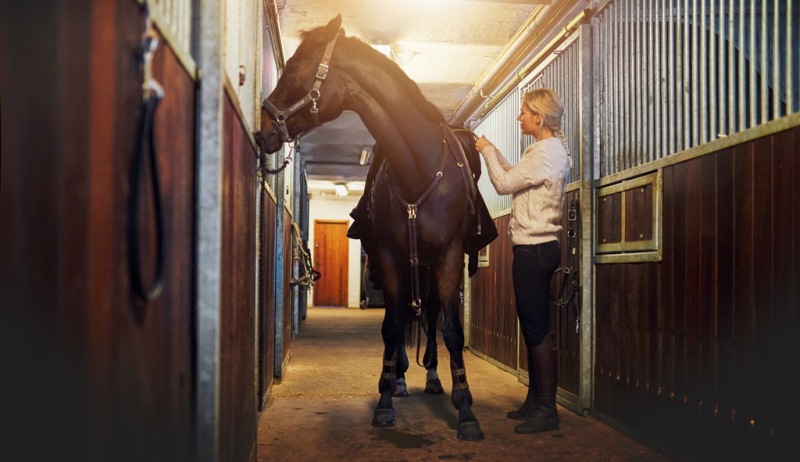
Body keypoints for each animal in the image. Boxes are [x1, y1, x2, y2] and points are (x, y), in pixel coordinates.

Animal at [258, 14, 494, 440]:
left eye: (296, 69)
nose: (262, 128)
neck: (418, 168)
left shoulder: (449, 255)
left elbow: (451, 328)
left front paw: (466, 409)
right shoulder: (388, 255)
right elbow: (392, 324)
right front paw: (385, 398)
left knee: (429, 314)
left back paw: (433, 378)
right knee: (404, 317)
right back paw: (400, 379)